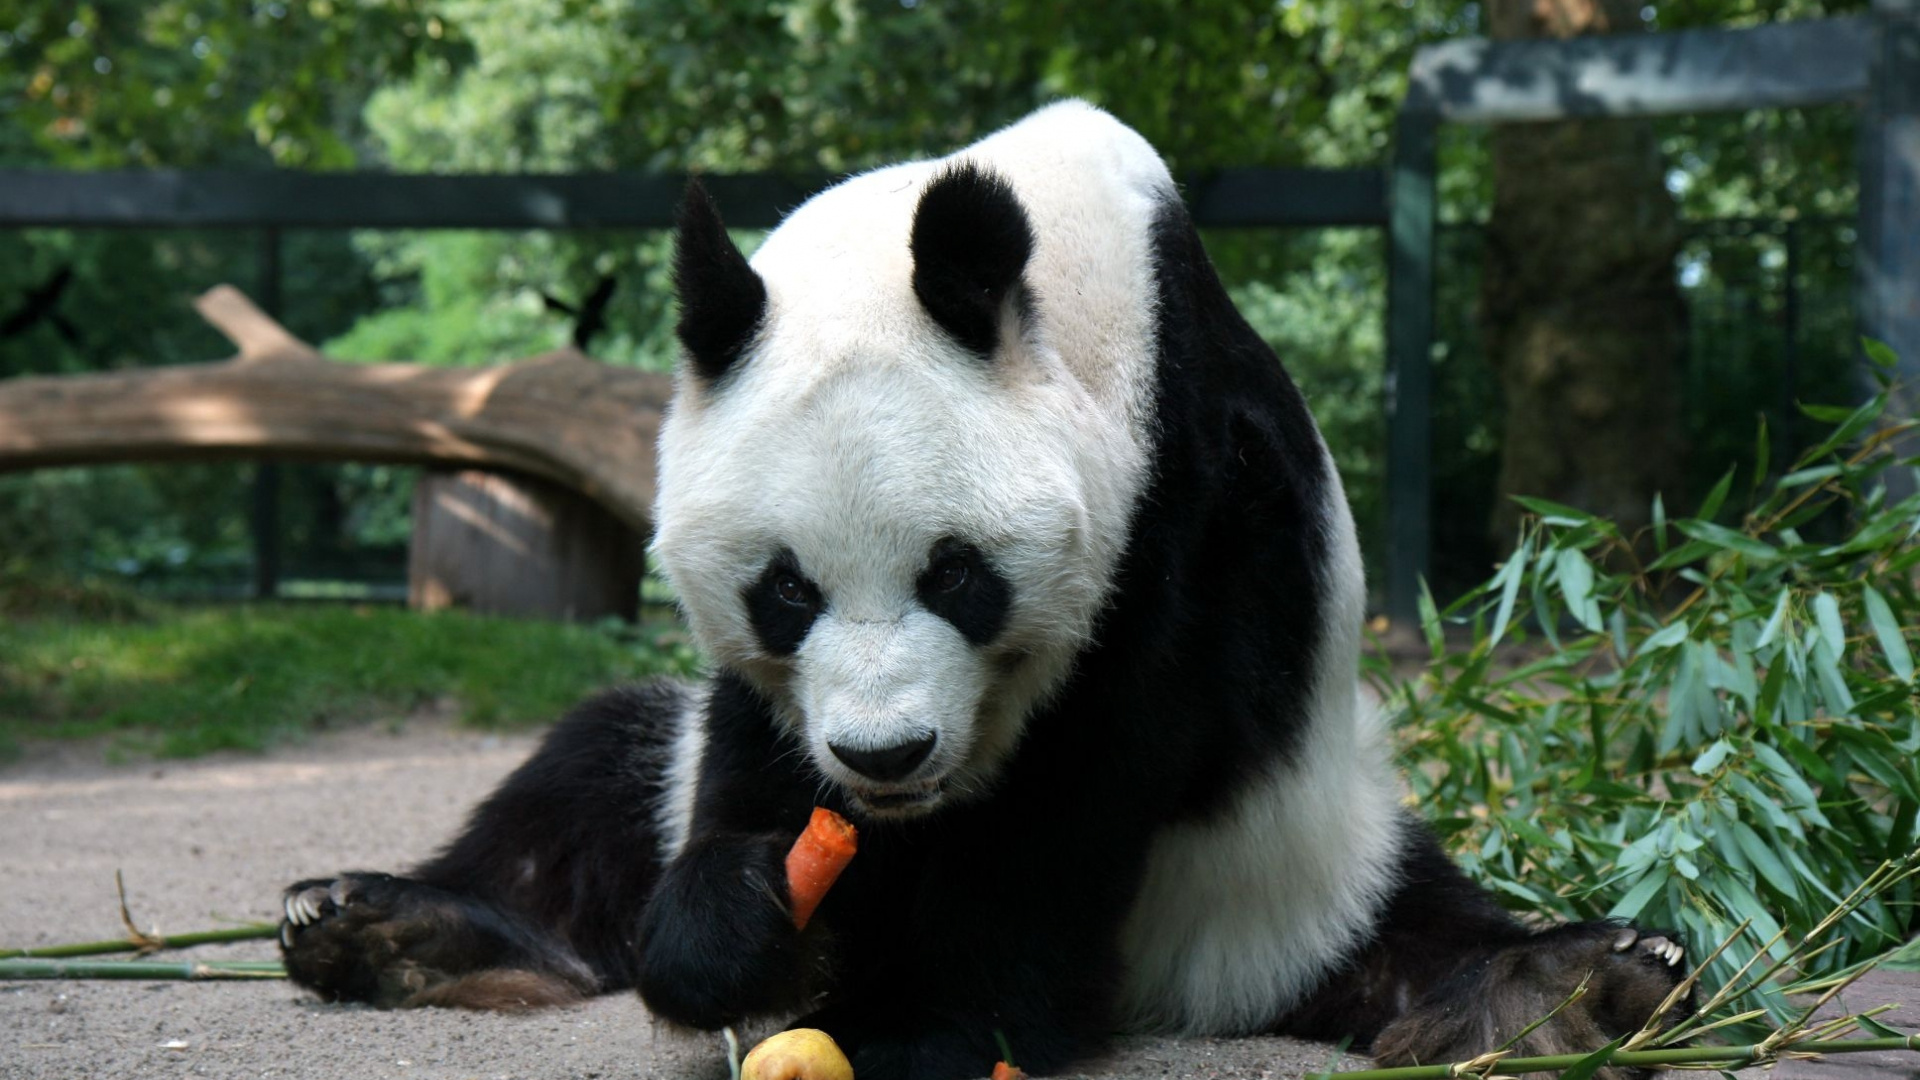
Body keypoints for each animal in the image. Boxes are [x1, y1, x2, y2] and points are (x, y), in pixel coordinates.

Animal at [278, 102, 1689, 1076]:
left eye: (956, 575)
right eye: (783, 591)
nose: (886, 756)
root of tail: (1200, 991)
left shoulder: (1180, 503)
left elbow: (1081, 786)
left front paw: (928, 1027)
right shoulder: (768, 708)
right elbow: (748, 764)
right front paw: (744, 935)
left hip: (1303, 852)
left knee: (1409, 933)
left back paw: (1570, 988)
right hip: (636, 772)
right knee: (584, 781)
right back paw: (375, 925)